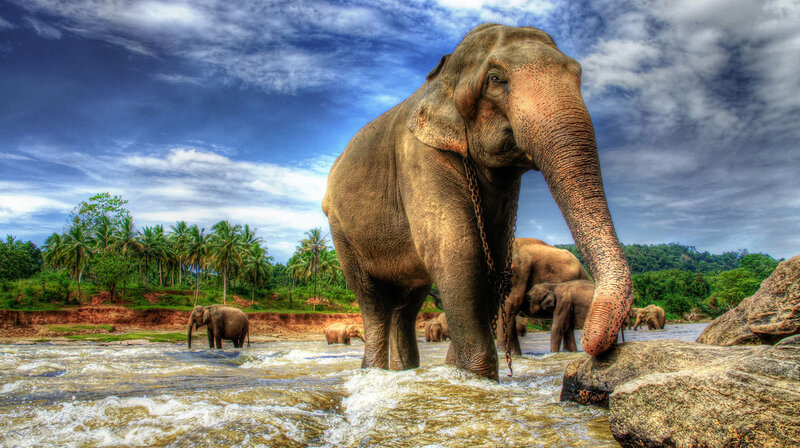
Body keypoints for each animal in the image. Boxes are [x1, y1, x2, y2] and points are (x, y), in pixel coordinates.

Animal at [322, 21, 636, 378]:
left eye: (578, 74)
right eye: (496, 80)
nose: (598, 350)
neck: (441, 76)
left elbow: (492, 254)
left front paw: (458, 372)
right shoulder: (419, 157)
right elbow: (456, 249)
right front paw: (471, 376)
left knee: (407, 303)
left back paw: (404, 373)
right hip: (342, 231)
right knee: (373, 301)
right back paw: (374, 372)